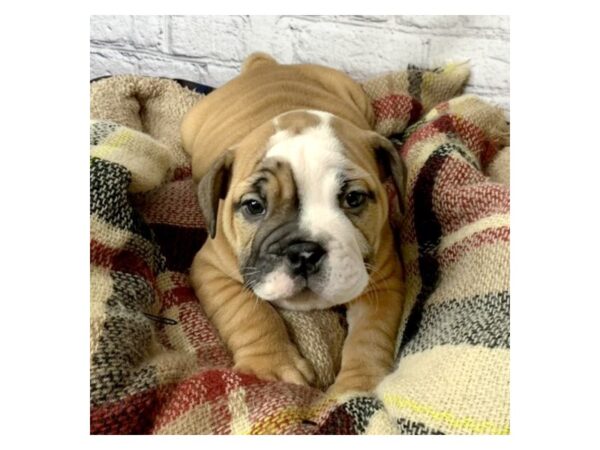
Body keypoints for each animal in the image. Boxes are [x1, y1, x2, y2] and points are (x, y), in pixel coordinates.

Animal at [182, 51, 408, 394]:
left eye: (353, 199)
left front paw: (358, 384)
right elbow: (247, 310)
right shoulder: (212, 269)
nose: (303, 252)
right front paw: (270, 368)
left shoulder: (382, 279)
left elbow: (370, 332)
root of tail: (265, 66)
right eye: (254, 206)